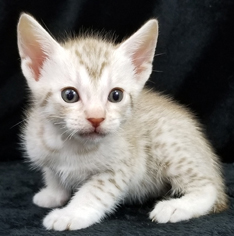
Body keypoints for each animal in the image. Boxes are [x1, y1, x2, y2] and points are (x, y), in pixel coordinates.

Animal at [17, 12, 228, 230]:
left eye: (116, 95)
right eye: (69, 95)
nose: (96, 118)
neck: (71, 145)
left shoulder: (120, 168)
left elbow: (93, 193)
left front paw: (71, 214)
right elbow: (52, 174)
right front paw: (53, 193)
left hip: (169, 145)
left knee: (208, 187)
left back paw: (175, 207)